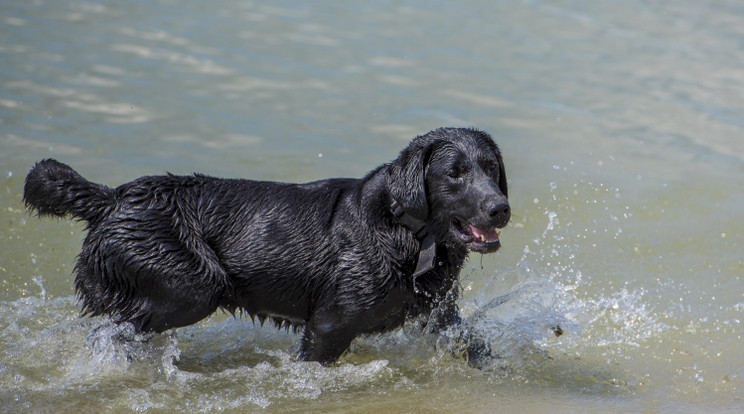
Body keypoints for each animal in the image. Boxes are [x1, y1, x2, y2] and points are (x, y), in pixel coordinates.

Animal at [24, 127, 512, 366]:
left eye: (491, 168)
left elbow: (473, 344)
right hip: (191, 286)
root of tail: (112, 197)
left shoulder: (440, 314)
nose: (500, 208)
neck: (403, 231)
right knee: (111, 330)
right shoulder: (329, 325)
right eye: (455, 173)